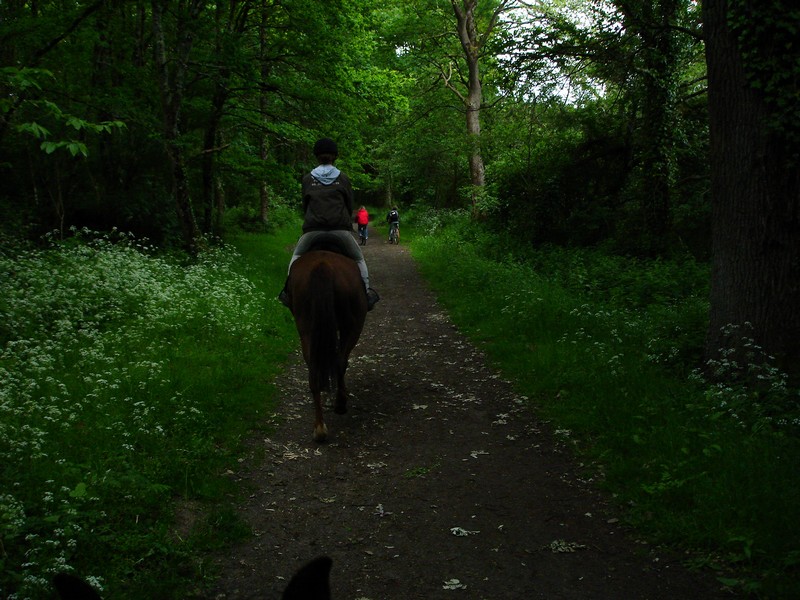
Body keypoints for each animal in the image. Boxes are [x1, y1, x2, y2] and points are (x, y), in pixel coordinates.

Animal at [286, 246, 368, 438]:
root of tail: (322, 266)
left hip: (305, 328)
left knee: (314, 367)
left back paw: (319, 428)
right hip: (353, 325)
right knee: (340, 361)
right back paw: (340, 404)